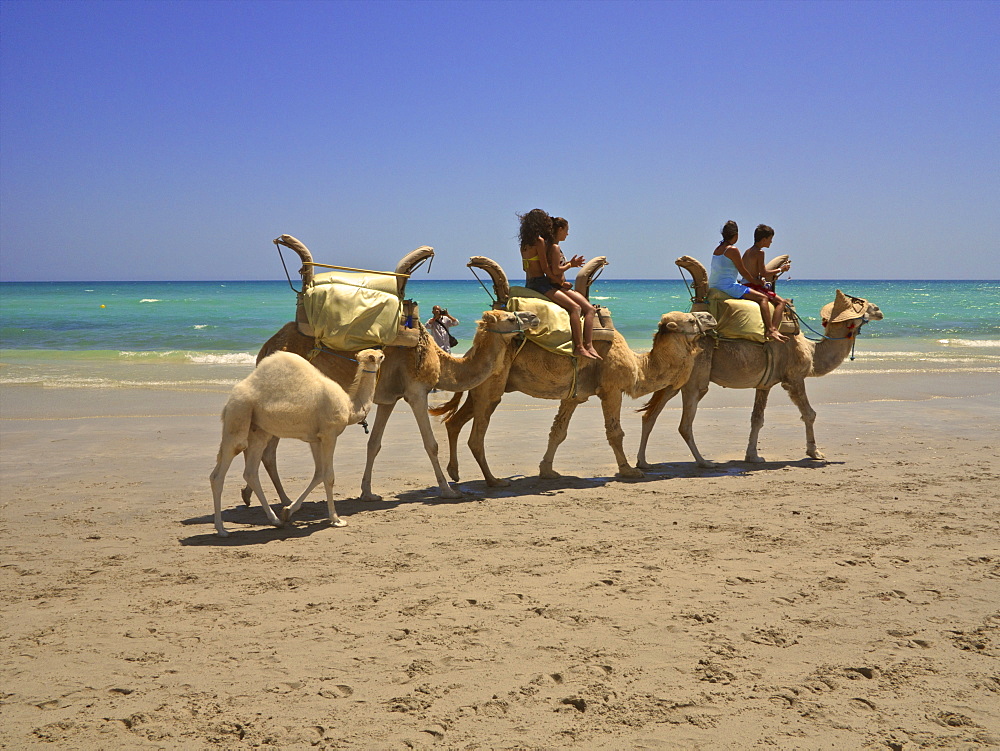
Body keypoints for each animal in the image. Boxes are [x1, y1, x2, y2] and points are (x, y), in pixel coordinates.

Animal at [209, 350, 384, 536]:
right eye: (378, 356)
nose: (383, 352)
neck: (350, 408)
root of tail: (230, 400)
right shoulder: (329, 434)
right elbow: (329, 476)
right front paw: (336, 520)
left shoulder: (316, 438)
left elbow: (319, 473)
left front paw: (288, 511)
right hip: (239, 413)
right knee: (222, 470)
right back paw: (221, 529)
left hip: (258, 430)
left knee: (250, 472)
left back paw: (275, 520)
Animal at [243, 235, 540, 506]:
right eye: (510, 317)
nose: (535, 317)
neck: (437, 359)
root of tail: (266, 348)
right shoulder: (416, 392)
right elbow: (431, 444)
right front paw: (448, 490)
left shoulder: (388, 398)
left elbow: (374, 444)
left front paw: (368, 493)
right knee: (268, 449)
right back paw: (281, 501)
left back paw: (268, 497)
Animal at [434, 256, 716, 484]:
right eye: (690, 320)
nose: (711, 318)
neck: (638, 366)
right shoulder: (611, 388)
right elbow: (615, 432)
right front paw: (628, 470)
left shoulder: (574, 395)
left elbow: (558, 431)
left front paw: (547, 471)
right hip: (491, 387)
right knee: (476, 435)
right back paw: (493, 481)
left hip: (479, 387)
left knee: (454, 422)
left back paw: (455, 473)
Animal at [636, 258, 888, 470]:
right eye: (860, 303)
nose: (879, 310)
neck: (810, 349)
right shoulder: (793, 378)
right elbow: (809, 413)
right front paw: (815, 453)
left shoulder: (765, 383)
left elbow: (757, 419)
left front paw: (753, 456)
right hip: (694, 381)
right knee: (684, 424)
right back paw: (704, 462)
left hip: (675, 380)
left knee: (650, 415)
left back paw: (643, 463)